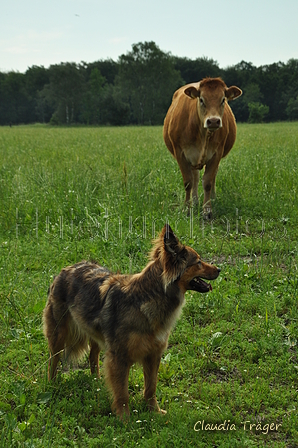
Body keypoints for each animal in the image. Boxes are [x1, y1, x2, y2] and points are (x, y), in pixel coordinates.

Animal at [43, 226, 220, 418]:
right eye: (198, 262)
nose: (219, 269)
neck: (149, 298)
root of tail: (66, 269)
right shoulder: (119, 357)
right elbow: (122, 393)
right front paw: (124, 419)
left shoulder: (153, 354)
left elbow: (151, 387)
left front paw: (154, 411)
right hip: (58, 334)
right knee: (53, 361)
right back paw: (52, 385)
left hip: (96, 333)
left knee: (92, 356)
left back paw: (96, 382)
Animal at [163, 77, 242, 220]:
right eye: (201, 99)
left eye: (223, 99)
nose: (214, 121)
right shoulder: (180, 153)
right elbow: (188, 182)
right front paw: (186, 208)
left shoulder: (217, 153)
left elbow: (208, 182)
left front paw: (207, 209)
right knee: (194, 177)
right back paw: (194, 201)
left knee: (211, 176)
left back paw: (213, 199)